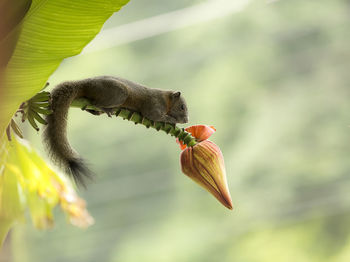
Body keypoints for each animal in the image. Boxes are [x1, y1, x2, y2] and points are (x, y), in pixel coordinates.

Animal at [43, 75, 189, 186]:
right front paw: (171, 120)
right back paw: (106, 108)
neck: (165, 98)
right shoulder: (154, 105)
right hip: (118, 93)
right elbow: (154, 115)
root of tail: (85, 83)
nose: (186, 120)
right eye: (182, 107)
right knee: (96, 103)